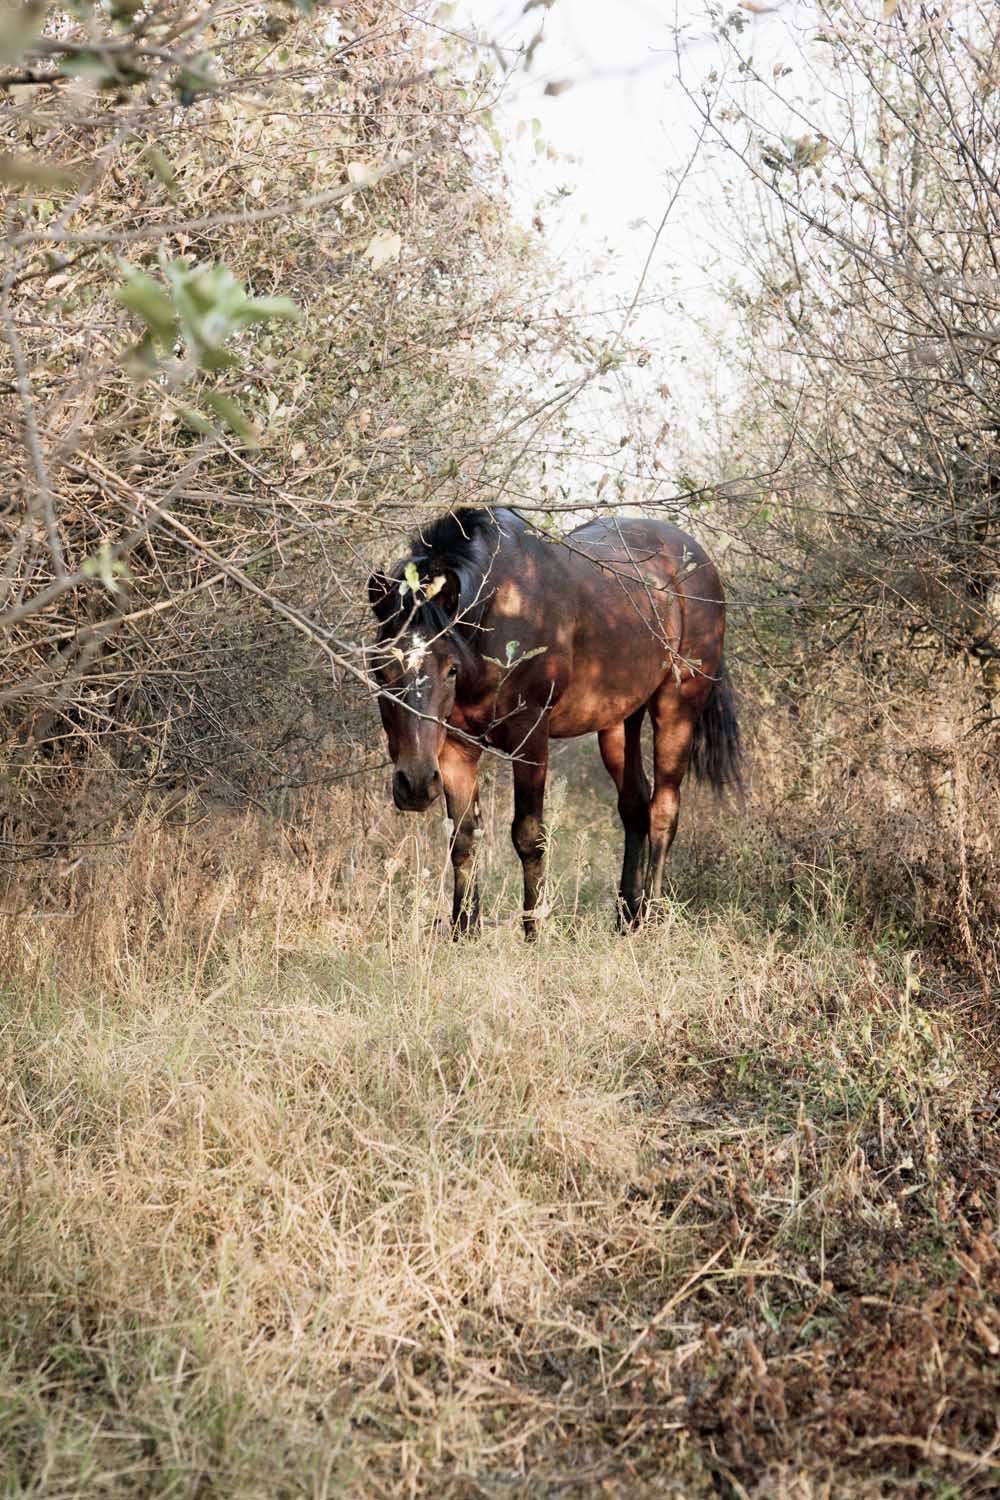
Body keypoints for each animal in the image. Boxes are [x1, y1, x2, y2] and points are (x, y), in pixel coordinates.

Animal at [370, 510, 743, 942]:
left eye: (450, 669)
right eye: (380, 670)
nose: (414, 785)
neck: (499, 610)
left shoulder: (530, 737)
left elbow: (529, 835)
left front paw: (534, 931)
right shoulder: (454, 749)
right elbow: (463, 837)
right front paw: (464, 932)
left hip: (676, 710)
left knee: (664, 810)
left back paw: (650, 919)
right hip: (618, 722)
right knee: (635, 806)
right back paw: (627, 918)